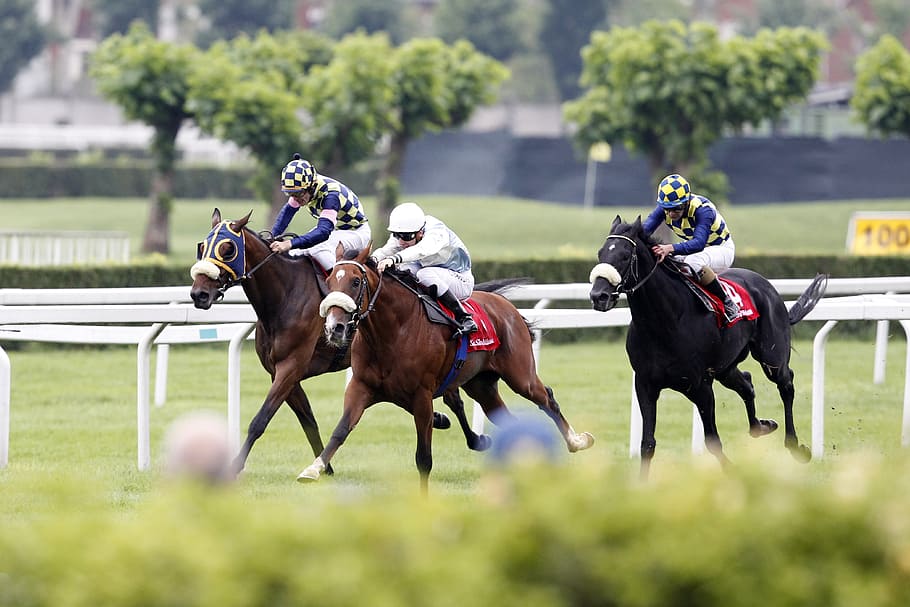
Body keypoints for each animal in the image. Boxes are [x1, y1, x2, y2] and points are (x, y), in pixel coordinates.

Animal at [300, 245, 596, 492]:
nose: (335, 328)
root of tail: (506, 306)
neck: (393, 331)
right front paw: (312, 469)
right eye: (329, 281)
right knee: (508, 419)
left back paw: (577, 441)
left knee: (546, 398)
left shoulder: (421, 395)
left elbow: (423, 457)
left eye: (356, 281)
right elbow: (341, 430)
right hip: (481, 386)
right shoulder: (361, 386)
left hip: (520, 375)